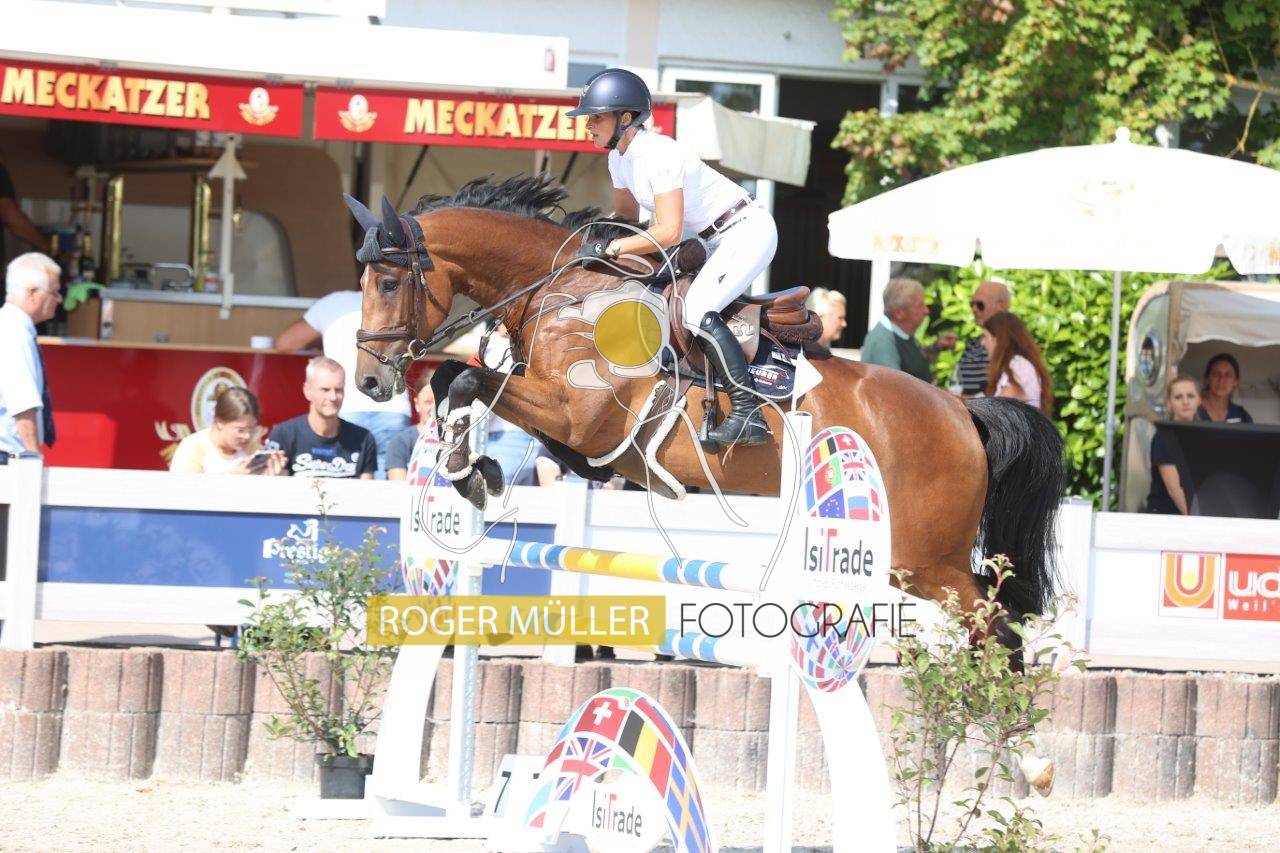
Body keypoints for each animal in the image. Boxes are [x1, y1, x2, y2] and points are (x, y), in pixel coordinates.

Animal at [344, 175, 1066, 649]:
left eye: (389, 281)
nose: (371, 381)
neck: (565, 291)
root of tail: (961, 412)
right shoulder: (570, 423)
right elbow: (457, 380)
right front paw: (473, 467)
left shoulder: (578, 415)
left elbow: (468, 376)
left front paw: (470, 467)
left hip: (922, 561)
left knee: (998, 626)